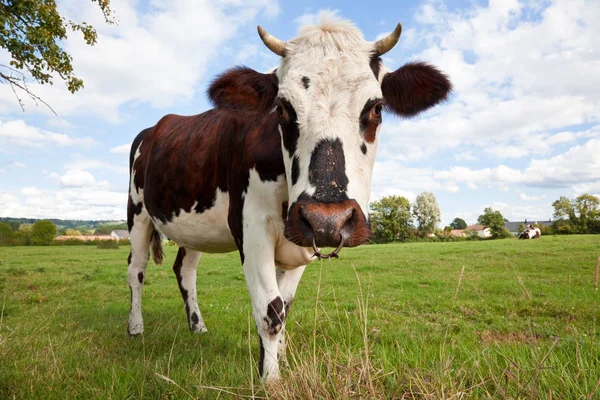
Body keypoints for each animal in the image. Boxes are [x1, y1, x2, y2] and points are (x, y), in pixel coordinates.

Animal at [127, 18, 454, 382]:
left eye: (377, 107)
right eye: (282, 108)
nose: (329, 220)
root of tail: (154, 128)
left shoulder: (301, 238)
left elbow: (286, 305)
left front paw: (280, 357)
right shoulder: (252, 229)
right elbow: (271, 312)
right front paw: (270, 380)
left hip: (193, 227)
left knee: (185, 270)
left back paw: (197, 327)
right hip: (137, 213)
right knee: (136, 270)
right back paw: (135, 328)